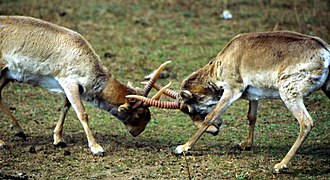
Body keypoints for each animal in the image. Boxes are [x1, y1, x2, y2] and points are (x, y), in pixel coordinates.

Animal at [0, 16, 170, 155]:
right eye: (140, 113)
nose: (137, 132)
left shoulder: (71, 87)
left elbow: (66, 107)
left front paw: (58, 140)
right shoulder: (69, 82)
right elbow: (82, 113)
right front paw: (96, 148)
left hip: (7, 74)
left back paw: (19, 131)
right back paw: (4, 142)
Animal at [129, 31, 330, 173]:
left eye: (189, 109)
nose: (216, 130)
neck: (230, 55)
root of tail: (324, 51)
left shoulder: (232, 91)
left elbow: (211, 115)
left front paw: (183, 147)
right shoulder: (254, 96)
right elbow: (251, 116)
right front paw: (246, 144)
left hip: (289, 93)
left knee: (306, 122)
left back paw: (280, 165)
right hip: (327, 89)